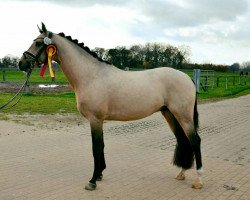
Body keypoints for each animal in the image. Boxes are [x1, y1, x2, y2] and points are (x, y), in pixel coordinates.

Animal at [19, 22, 203, 190]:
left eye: (38, 43)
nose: (21, 64)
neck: (91, 76)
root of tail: (187, 78)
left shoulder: (95, 119)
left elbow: (96, 148)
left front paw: (92, 181)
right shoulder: (98, 120)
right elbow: (101, 147)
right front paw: (100, 174)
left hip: (182, 115)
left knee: (195, 141)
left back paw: (198, 180)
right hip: (169, 113)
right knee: (183, 140)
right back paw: (182, 173)